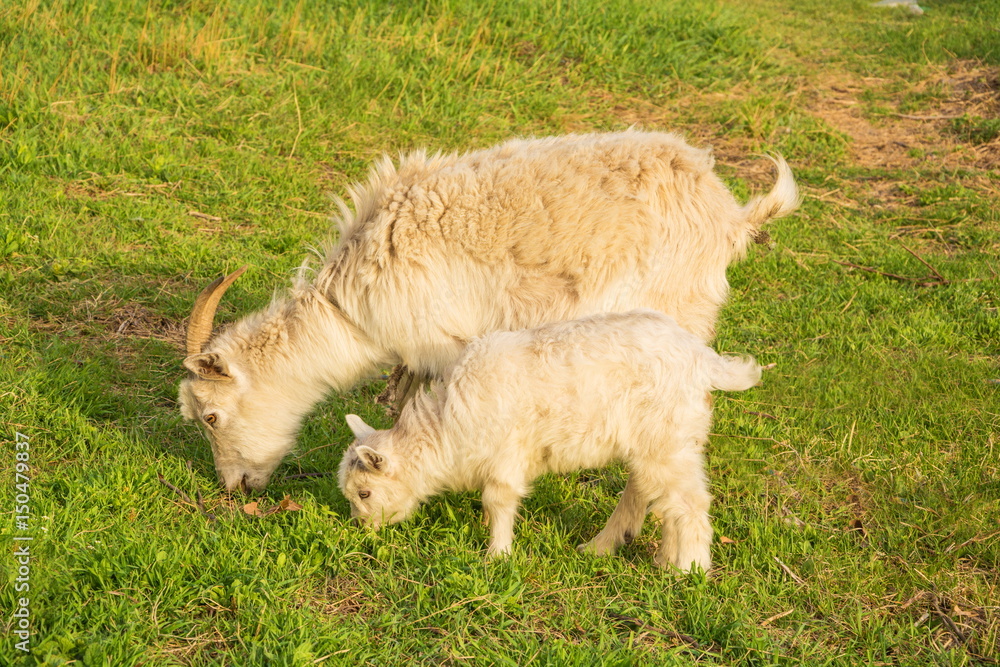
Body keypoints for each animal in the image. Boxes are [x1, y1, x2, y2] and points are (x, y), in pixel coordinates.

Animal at [178, 130, 797, 491]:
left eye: (210, 417)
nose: (236, 486)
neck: (348, 305)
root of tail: (732, 214)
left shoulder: (449, 344)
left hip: (679, 306)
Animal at [338, 310, 761, 571]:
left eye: (364, 493)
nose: (362, 530)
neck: (445, 428)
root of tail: (703, 357)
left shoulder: (505, 455)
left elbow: (498, 501)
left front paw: (497, 555)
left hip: (667, 437)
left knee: (689, 503)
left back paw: (688, 570)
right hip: (662, 441)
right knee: (659, 496)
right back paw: (622, 552)